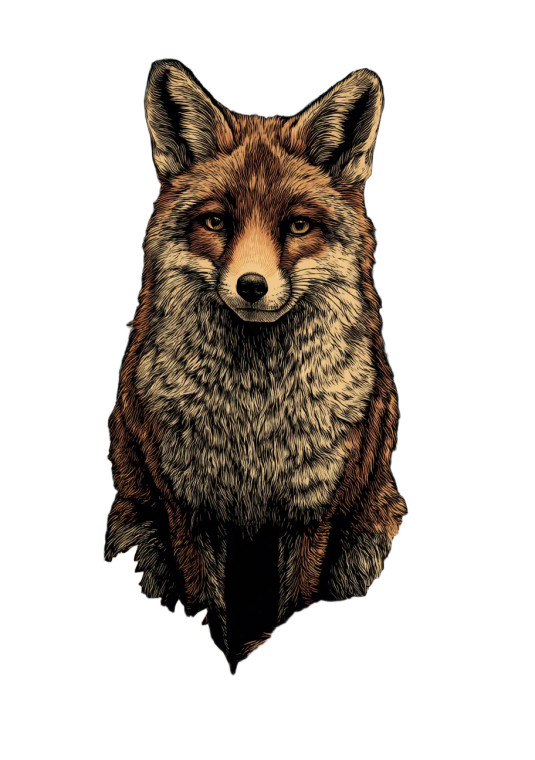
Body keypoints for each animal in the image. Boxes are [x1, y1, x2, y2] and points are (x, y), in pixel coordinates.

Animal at [105, 59, 407, 672]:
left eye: (298, 226)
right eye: (216, 222)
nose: (251, 285)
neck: (253, 423)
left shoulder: (310, 516)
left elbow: (295, 603)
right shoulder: (189, 510)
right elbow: (206, 604)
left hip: (365, 543)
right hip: (137, 536)